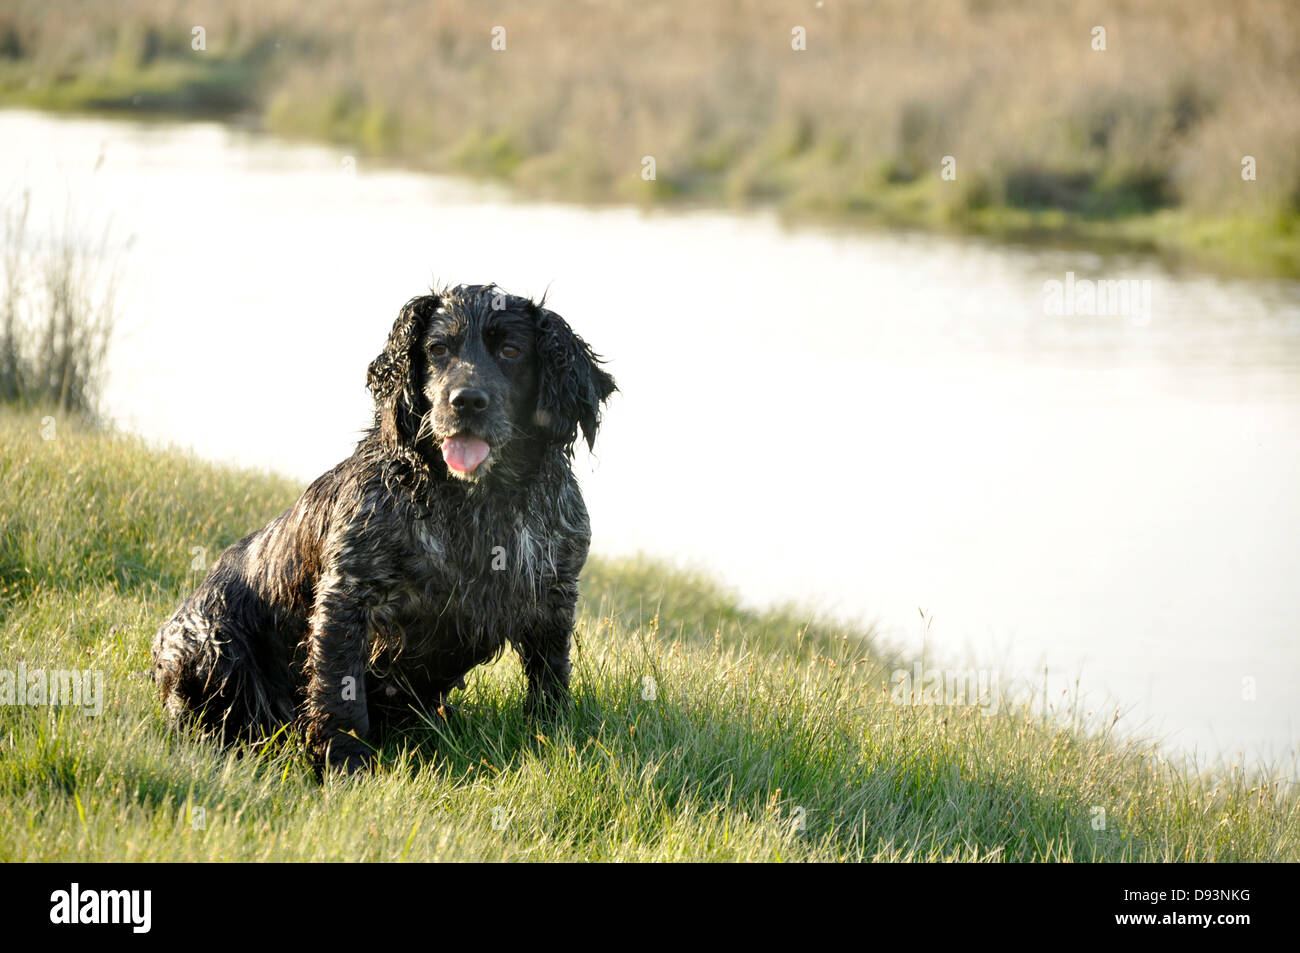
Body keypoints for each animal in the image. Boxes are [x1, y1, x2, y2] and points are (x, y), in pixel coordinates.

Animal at [149, 284, 616, 774]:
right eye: (437, 349)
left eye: (511, 351)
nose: (465, 401)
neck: (477, 501)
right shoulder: (347, 593)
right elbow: (341, 695)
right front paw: (345, 765)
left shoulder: (554, 592)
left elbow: (550, 679)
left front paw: (552, 737)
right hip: (207, 643)